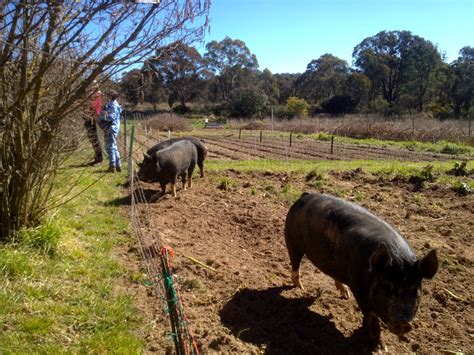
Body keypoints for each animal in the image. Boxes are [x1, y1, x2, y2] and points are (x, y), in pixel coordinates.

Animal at [284, 193, 438, 346]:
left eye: (415, 291)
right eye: (386, 286)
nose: (403, 322)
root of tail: (305, 195)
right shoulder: (359, 289)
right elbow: (371, 317)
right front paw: (379, 347)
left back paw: (345, 295)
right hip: (292, 241)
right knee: (295, 264)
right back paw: (300, 288)